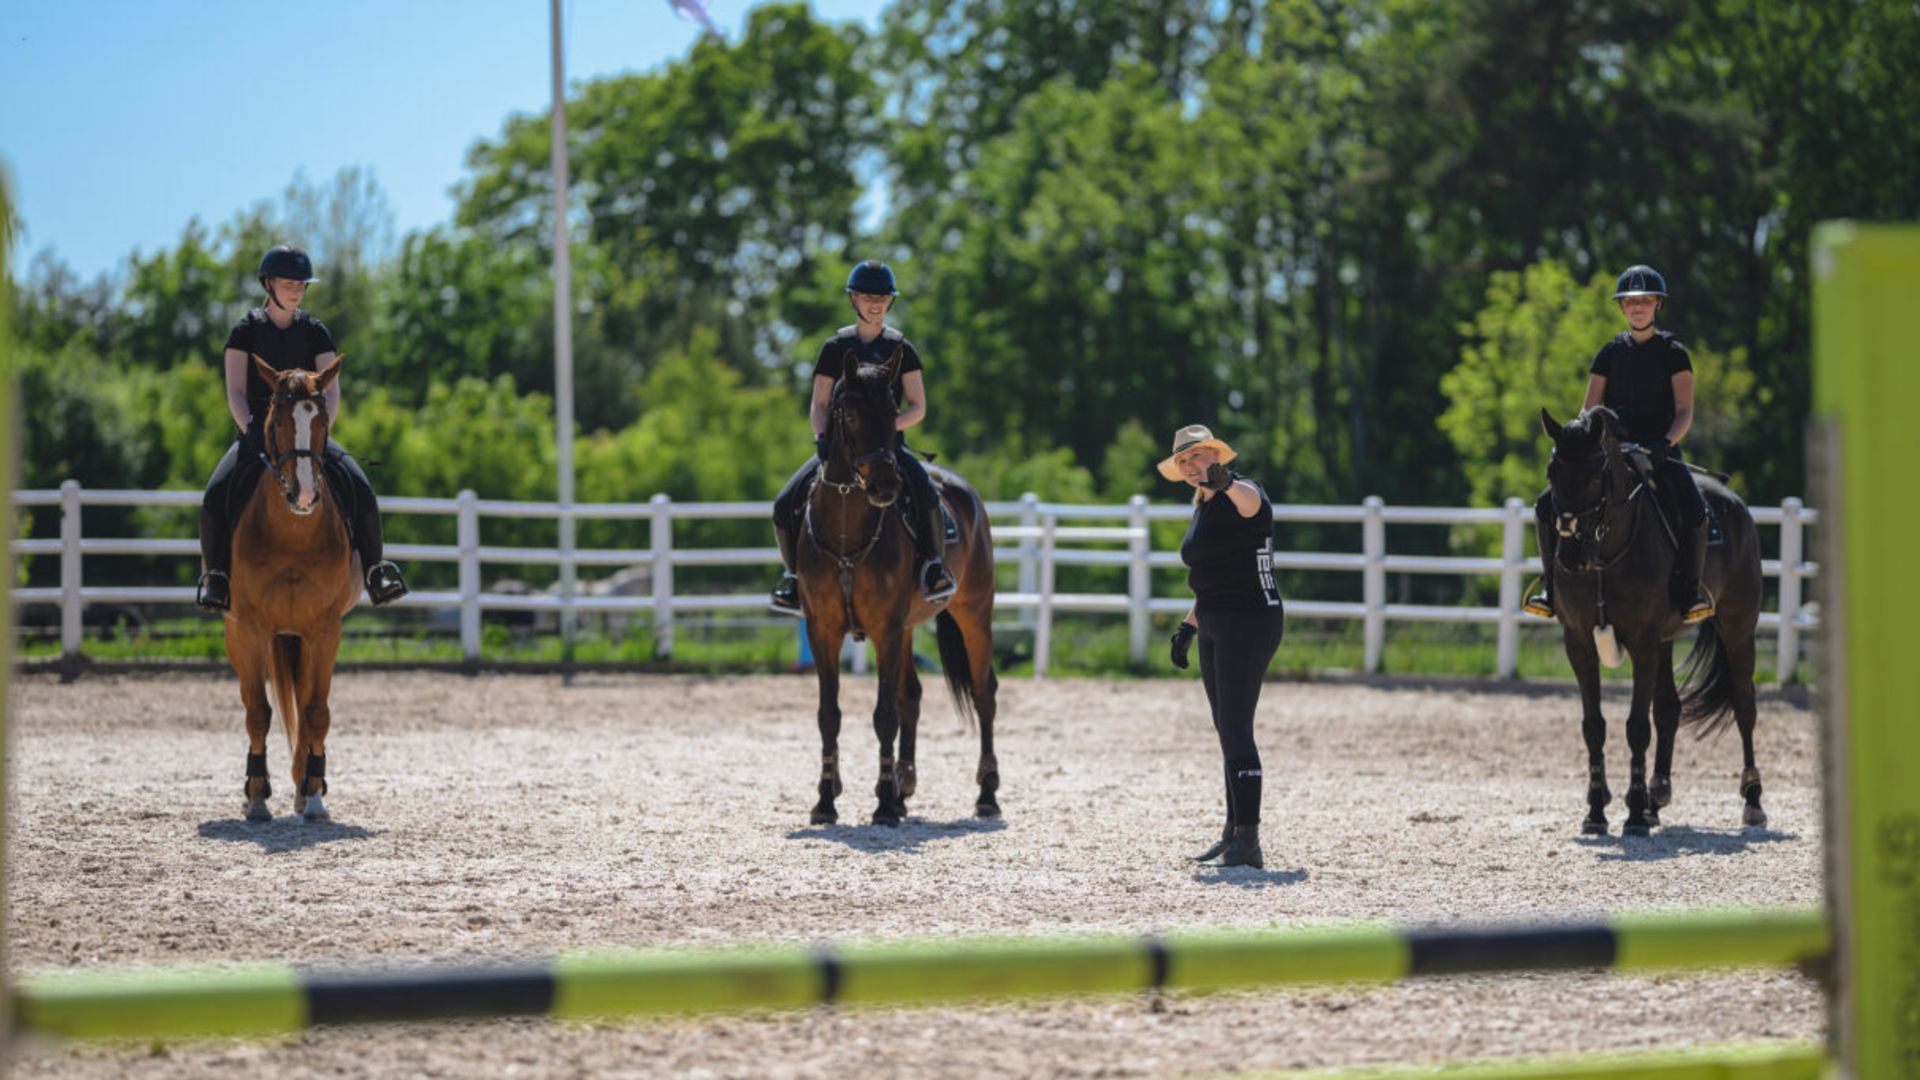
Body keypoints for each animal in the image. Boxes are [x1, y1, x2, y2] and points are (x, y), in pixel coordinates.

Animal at [224, 357, 360, 818]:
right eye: (278, 417)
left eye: (321, 421)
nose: (303, 495)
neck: (293, 533)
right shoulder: (250, 629)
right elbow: (257, 712)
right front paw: (256, 794)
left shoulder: (326, 630)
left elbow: (316, 711)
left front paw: (314, 793)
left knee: (304, 700)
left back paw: (305, 785)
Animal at [794, 349, 1006, 818]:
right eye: (851, 413)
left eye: (894, 411)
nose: (885, 485)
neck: (846, 528)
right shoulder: (823, 630)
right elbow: (828, 715)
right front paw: (826, 798)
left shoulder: (885, 629)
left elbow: (883, 715)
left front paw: (883, 806)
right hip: (909, 626)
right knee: (913, 695)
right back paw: (904, 786)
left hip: (973, 614)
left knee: (984, 693)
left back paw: (986, 793)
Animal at [1536, 403, 1758, 834]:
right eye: (1552, 472)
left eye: (1595, 473)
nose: (1571, 557)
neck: (1605, 552)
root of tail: (1735, 503)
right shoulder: (1579, 642)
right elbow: (1594, 726)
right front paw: (1597, 811)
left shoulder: (1641, 640)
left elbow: (1637, 727)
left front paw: (1635, 813)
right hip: (1665, 640)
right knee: (1668, 709)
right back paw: (1657, 796)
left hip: (1738, 628)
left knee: (1744, 706)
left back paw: (1753, 799)